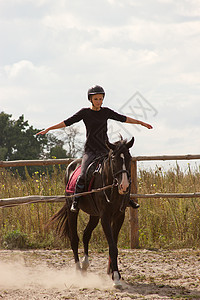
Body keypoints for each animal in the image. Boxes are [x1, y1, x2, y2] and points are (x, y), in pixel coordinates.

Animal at [49, 137, 134, 288]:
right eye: (114, 159)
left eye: (129, 158)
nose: (124, 185)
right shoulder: (105, 217)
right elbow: (112, 247)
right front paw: (116, 278)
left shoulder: (119, 217)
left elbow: (114, 245)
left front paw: (112, 272)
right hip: (72, 211)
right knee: (74, 239)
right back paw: (78, 269)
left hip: (94, 215)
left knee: (86, 235)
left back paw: (85, 265)